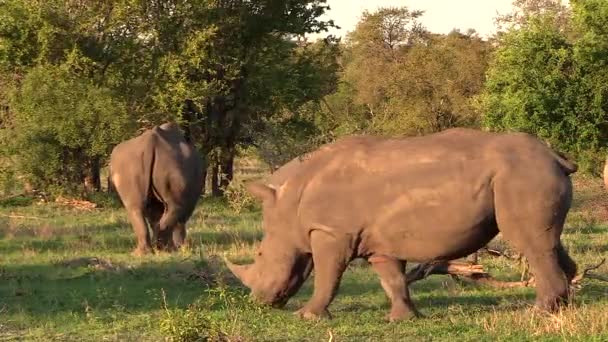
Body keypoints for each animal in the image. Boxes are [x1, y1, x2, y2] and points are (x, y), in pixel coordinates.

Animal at [109, 122, 204, 254]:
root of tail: (150, 142)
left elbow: (154, 216)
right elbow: (180, 220)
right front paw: (181, 247)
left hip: (128, 163)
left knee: (135, 207)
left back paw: (143, 253)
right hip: (175, 166)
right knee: (175, 208)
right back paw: (165, 249)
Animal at [226, 127, 576, 320]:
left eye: (260, 255)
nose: (258, 302)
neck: (289, 199)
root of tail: (556, 158)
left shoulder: (330, 233)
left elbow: (327, 277)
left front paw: (308, 317)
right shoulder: (379, 243)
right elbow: (392, 278)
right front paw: (404, 319)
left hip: (522, 177)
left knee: (531, 244)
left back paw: (537, 313)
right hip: (529, 175)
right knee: (549, 242)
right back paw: (563, 310)